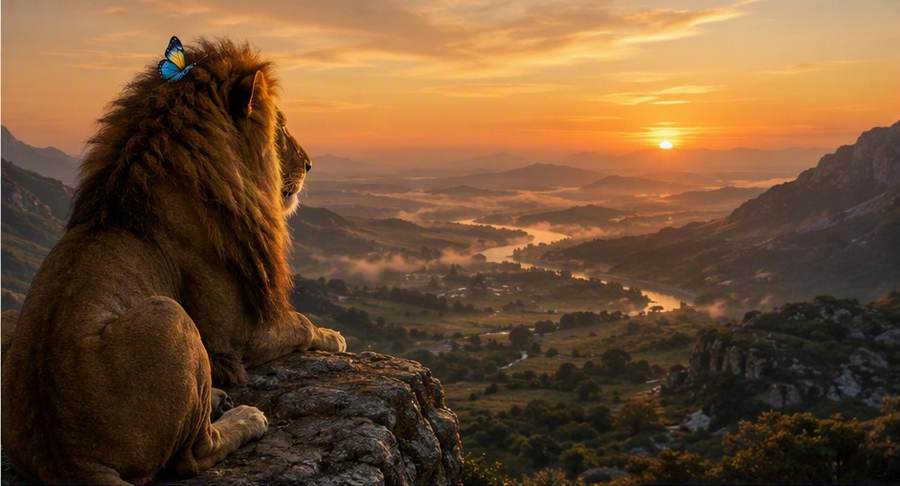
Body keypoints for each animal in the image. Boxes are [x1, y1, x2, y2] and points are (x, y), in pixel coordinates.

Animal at [1, 39, 346, 484]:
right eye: (280, 128)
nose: (308, 164)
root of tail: (67, 459)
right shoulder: (236, 337)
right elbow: (300, 324)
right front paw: (333, 336)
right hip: (171, 317)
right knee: (194, 453)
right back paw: (244, 415)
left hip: (11, 317)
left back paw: (217, 395)